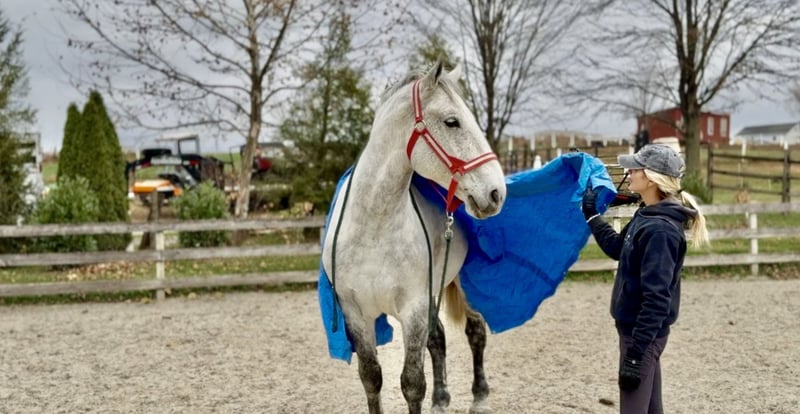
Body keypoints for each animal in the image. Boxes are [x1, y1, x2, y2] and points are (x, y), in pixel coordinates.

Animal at [321, 61, 507, 414]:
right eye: (452, 121)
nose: (496, 192)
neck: (372, 230)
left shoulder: (413, 309)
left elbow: (412, 383)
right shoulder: (356, 314)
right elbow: (372, 378)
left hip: (461, 284)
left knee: (475, 333)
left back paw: (480, 397)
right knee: (439, 340)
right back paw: (441, 400)